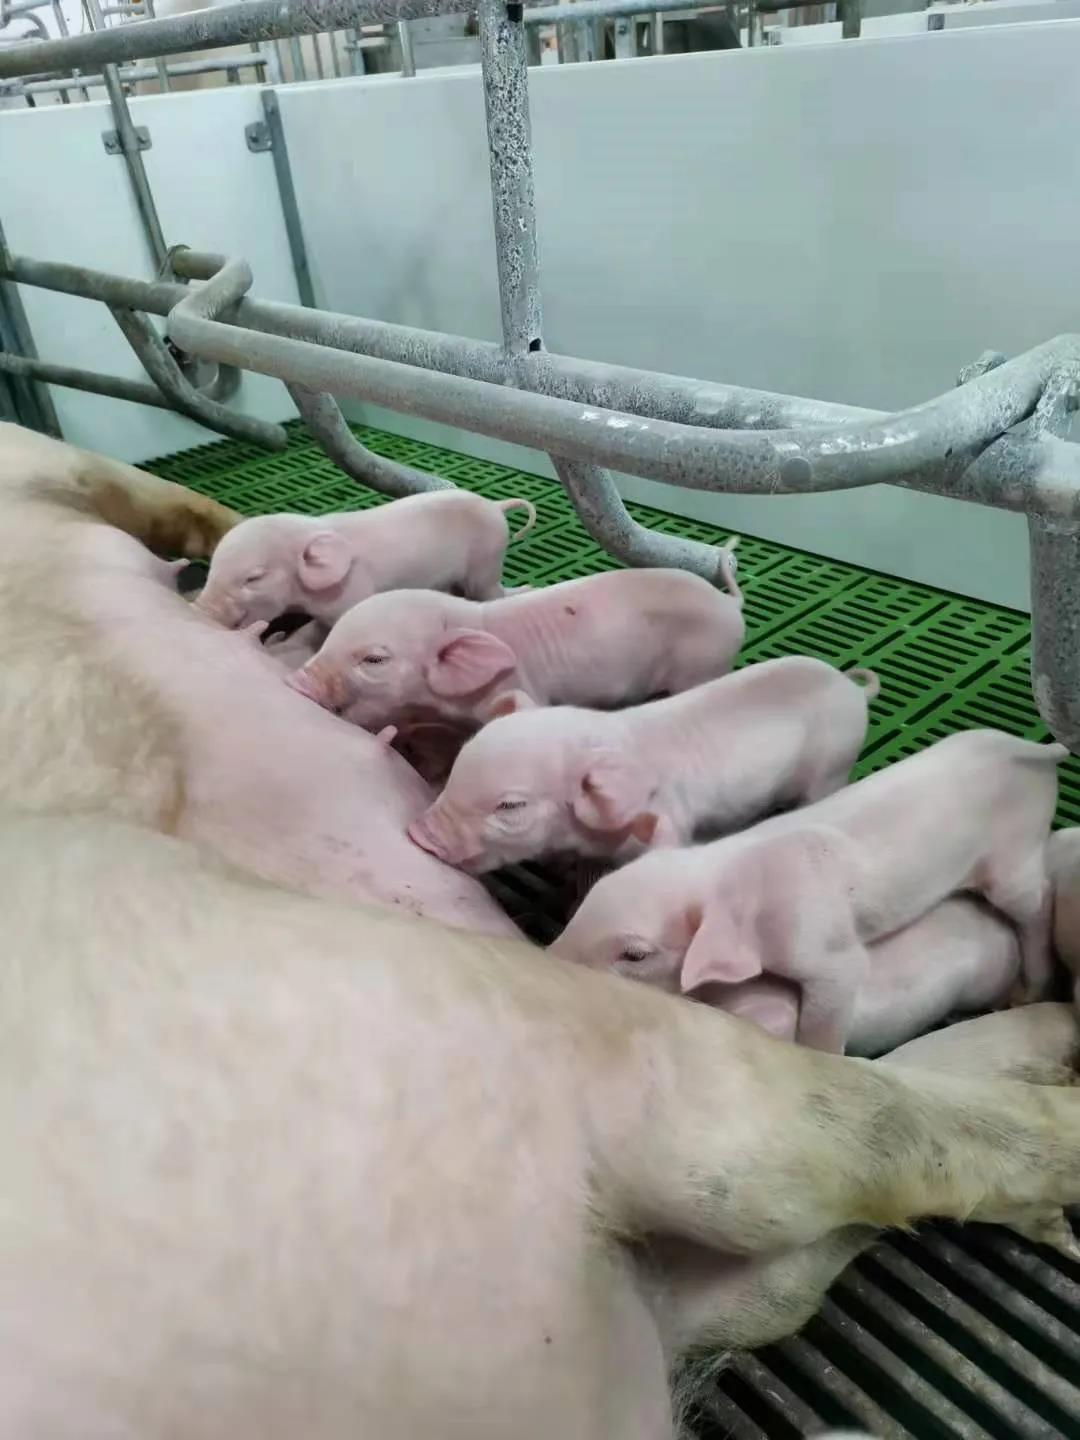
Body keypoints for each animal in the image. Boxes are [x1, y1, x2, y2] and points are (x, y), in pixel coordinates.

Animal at [193, 489, 537, 628]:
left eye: (253, 577)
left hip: (487, 557)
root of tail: (495, 505)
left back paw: (526, 591)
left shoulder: (353, 591)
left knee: (490, 592)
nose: (197, 608)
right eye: (212, 569)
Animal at [285, 564, 744, 730]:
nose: (296, 681)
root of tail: (730, 604)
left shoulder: (521, 686)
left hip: (703, 666)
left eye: (374, 659)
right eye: (332, 634)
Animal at [407, 656, 876, 872]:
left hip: (833, 767)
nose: (417, 834)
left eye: (510, 806)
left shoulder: (673, 819)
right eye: (456, 769)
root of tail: (851, 688)